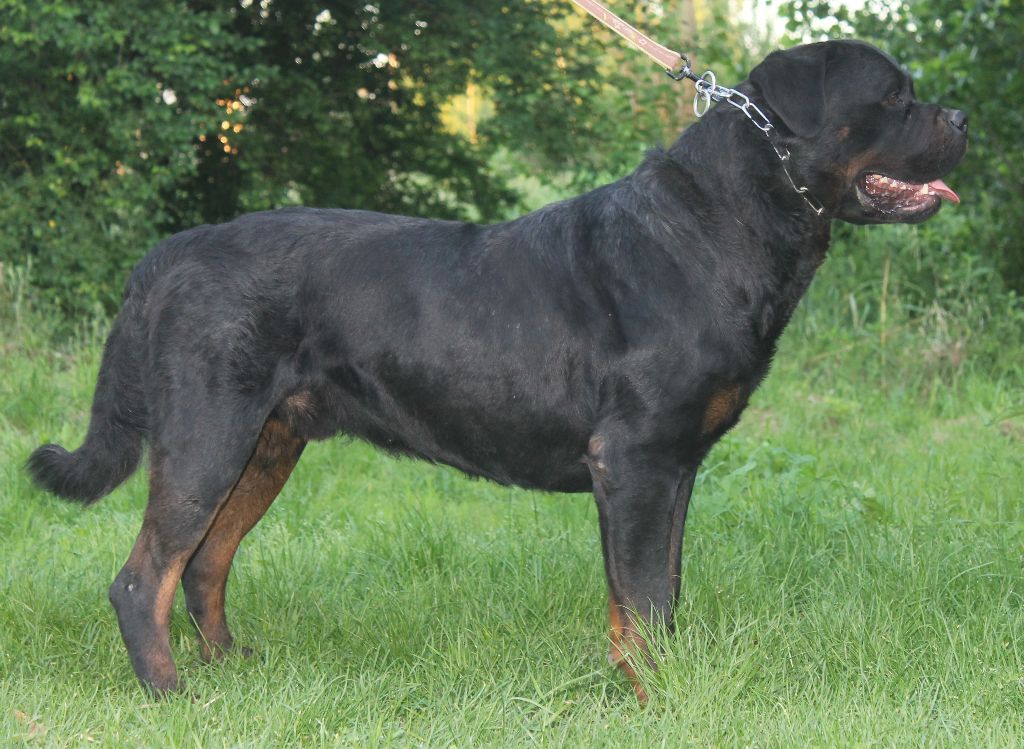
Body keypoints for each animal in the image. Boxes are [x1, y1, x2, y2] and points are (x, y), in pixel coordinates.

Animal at [29, 40, 966, 700]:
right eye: (892, 97)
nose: (960, 118)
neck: (720, 227)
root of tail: (171, 253)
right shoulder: (634, 460)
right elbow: (640, 598)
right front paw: (653, 696)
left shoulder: (675, 465)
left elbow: (662, 588)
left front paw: (665, 680)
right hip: (207, 432)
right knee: (143, 577)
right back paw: (172, 695)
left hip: (267, 440)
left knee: (204, 562)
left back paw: (232, 668)